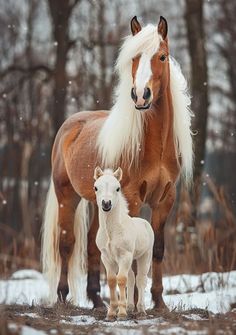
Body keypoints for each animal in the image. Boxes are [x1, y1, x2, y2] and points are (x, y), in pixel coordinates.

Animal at [94, 168, 155, 320]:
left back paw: (141, 310)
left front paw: (121, 314)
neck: (112, 231)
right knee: (132, 278)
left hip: (145, 256)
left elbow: (121, 279)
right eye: (96, 187)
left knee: (141, 279)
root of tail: (145, 223)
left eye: (118, 188)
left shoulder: (124, 255)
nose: (106, 204)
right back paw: (130, 307)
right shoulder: (106, 257)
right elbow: (111, 281)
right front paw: (111, 313)